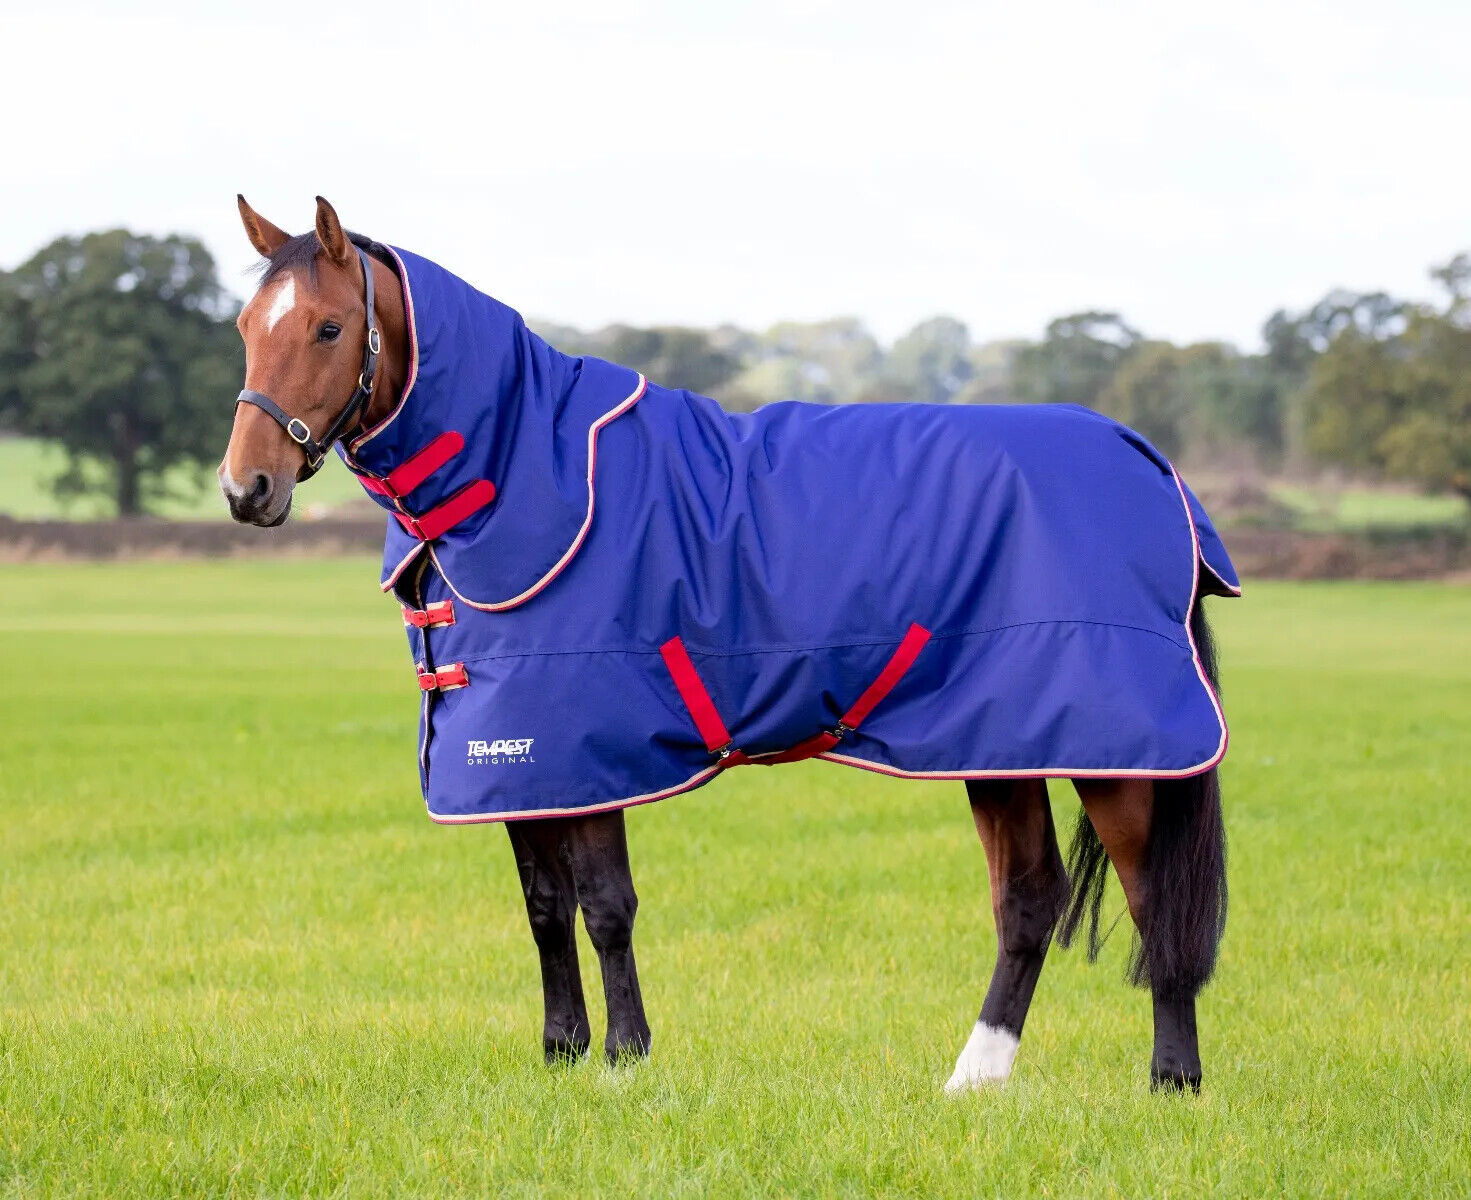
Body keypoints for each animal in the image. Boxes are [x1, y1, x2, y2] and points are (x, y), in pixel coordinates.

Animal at [220, 195, 1232, 1091]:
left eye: (326, 328)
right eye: (243, 327)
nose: (244, 489)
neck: (520, 474)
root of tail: (1149, 463)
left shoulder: (590, 747)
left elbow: (604, 907)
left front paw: (625, 1059)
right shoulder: (516, 756)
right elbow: (544, 908)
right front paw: (561, 1053)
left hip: (1113, 749)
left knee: (1153, 900)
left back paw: (1172, 1076)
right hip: (998, 743)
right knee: (1027, 899)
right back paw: (974, 1078)